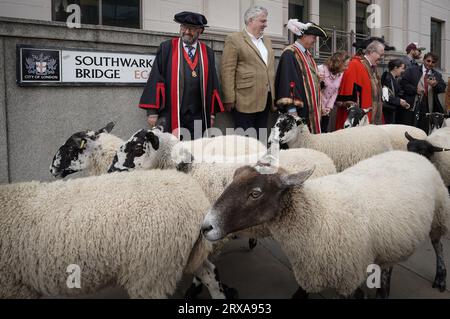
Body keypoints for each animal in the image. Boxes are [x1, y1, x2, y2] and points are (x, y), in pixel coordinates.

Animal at [202, 151, 450, 298]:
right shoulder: (309, 271)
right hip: (392, 240)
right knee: (389, 264)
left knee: (438, 244)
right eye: (233, 178)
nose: (206, 227)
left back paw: (440, 277)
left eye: (255, 193)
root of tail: (411, 153)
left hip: (439, 214)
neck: (316, 215)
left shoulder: (348, 279)